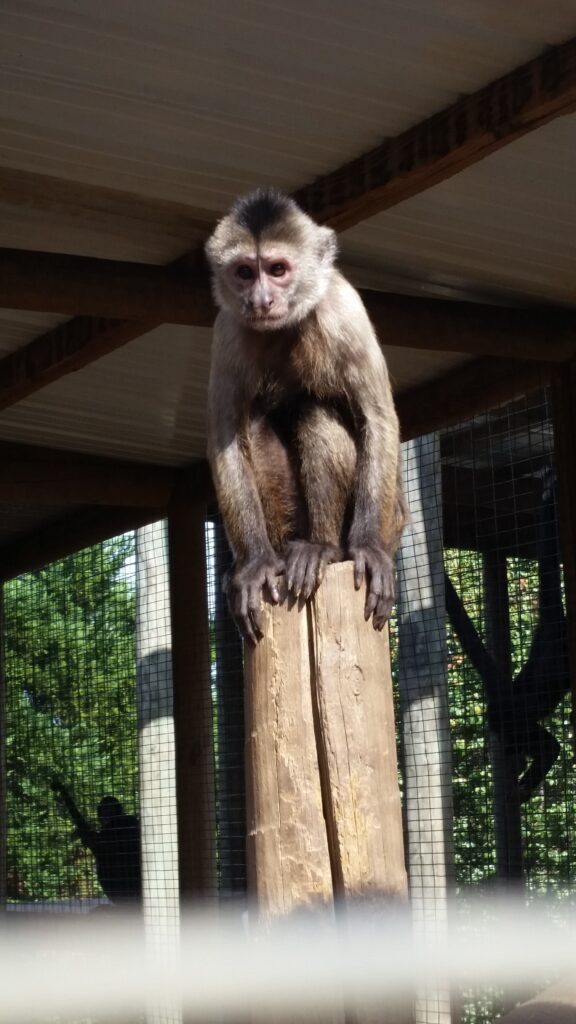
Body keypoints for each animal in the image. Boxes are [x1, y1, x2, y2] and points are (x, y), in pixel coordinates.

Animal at [203, 188, 405, 643]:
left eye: (278, 269)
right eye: (245, 272)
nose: (260, 299)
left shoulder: (345, 309)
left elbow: (377, 419)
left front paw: (368, 549)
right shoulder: (228, 329)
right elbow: (224, 438)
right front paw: (254, 565)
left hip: (395, 521)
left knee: (315, 411)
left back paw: (325, 548)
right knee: (254, 425)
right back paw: (278, 556)